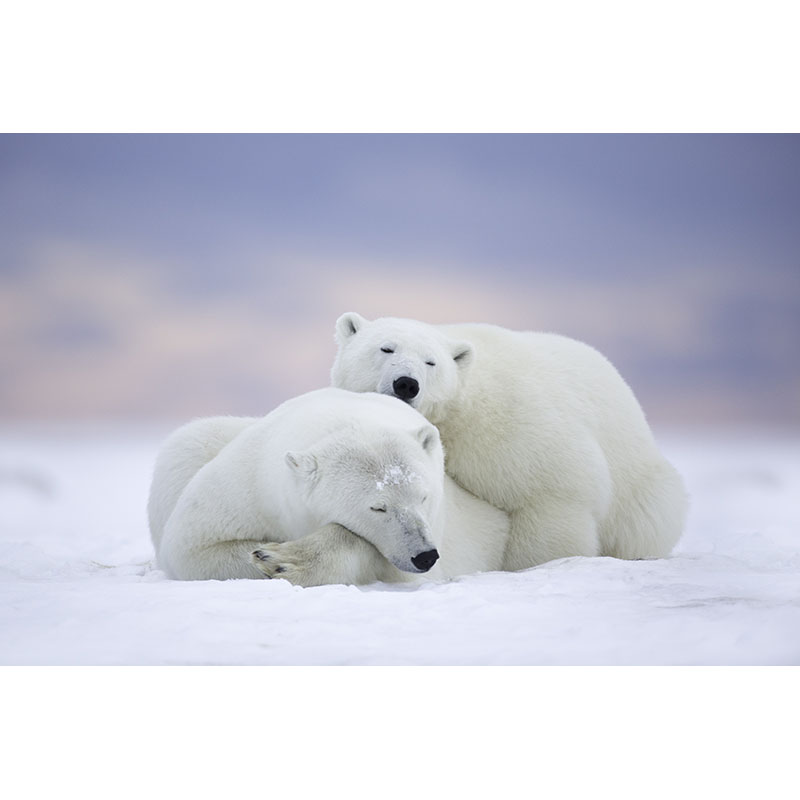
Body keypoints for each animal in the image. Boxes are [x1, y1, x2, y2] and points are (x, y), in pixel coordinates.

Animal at [147, 390, 506, 588]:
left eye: (424, 496)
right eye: (378, 507)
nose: (425, 555)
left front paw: (284, 560)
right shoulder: (250, 484)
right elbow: (193, 547)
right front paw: (269, 555)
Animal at [332, 312, 688, 568]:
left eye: (431, 362)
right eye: (386, 348)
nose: (406, 383)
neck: (461, 409)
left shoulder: (513, 426)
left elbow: (552, 492)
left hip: (640, 484)